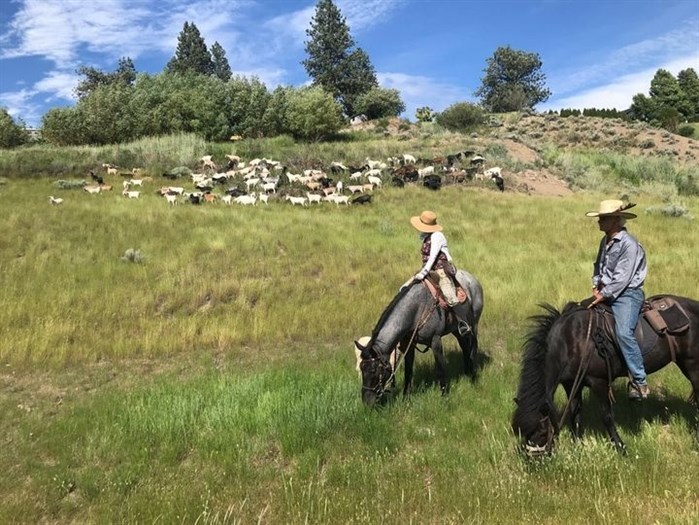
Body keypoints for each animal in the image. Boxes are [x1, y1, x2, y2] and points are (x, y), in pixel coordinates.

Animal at [358, 270, 484, 406]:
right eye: (361, 368)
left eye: (374, 370)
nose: (366, 401)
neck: (417, 309)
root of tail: (473, 279)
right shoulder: (408, 344)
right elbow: (408, 370)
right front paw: (406, 397)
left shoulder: (435, 341)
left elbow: (440, 369)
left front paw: (444, 395)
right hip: (456, 329)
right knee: (465, 347)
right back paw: (467, 373)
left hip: (474, 325)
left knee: (472, 349)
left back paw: (473, 376)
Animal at [508, 294, 699, 454]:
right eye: (523, 434)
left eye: (540, 432)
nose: (535, 460)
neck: (573, 341)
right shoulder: (571, 384)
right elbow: (575, 414)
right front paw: (578, 446)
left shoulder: (599, 382)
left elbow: (606, 416)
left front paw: (620, 447)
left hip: (692, 365)